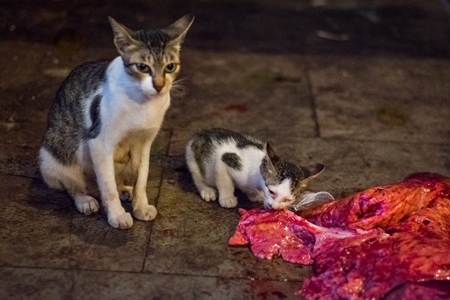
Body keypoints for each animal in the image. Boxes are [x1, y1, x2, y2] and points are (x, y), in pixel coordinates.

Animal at [38, 14, 193, 230]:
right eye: (142, 67)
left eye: (170, 67)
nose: (159, 86)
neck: (143, 103)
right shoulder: (99, 143)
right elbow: (108, 186)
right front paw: (117, 215)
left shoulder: (144, 144)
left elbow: (141, 178)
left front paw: (140, 205)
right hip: (54, 156)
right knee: (74, 184)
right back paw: (85, 200)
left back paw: (125, 190)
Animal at [185, 127, 326, 210]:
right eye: (272, 192)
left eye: (288, 200)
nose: (274, 207)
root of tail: (199, 135)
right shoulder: (226, 159)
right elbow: (225, 183)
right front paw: (227, 198)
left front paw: (254, 195)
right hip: (192, 156)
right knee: (197, 177)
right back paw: (207, 190)